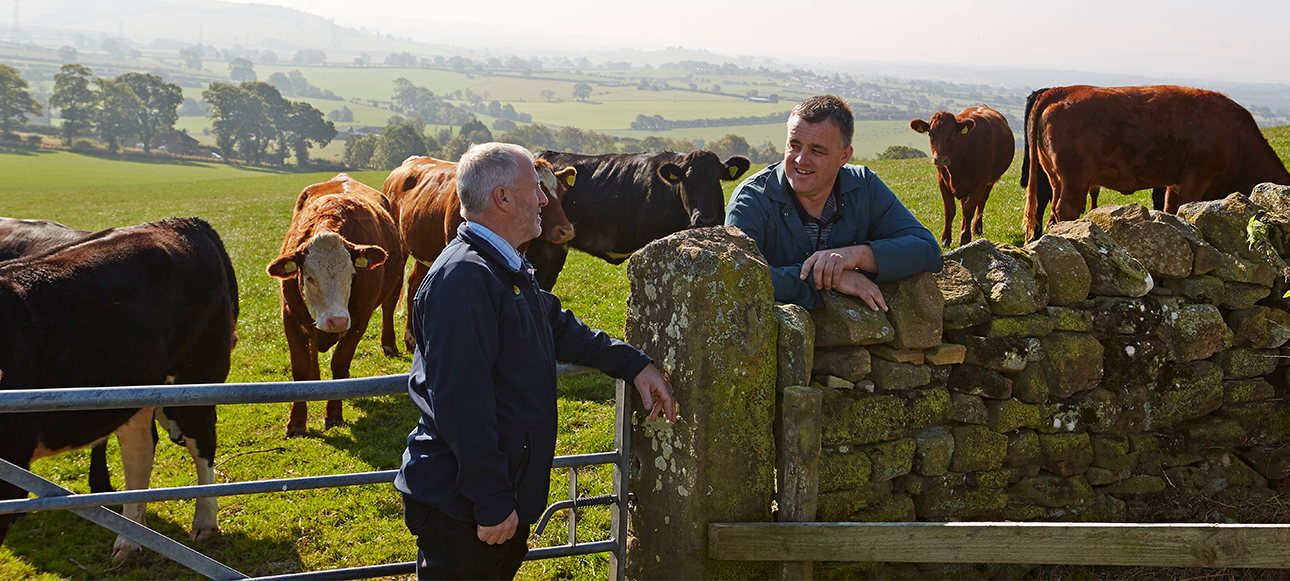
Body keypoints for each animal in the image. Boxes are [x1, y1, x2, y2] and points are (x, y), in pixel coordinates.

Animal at [0, 216, 237, 557]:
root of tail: (182, 222)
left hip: (197, 376)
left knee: (201, 444)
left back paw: (203, 521)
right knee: (140, 452)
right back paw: (130, 538)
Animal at [270, 174, 407, 438]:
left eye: (352, 275)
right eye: (309, 277)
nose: (337, 320)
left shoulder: (359, 319)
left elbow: (340, 363)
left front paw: (334, 414)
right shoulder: (290, 317)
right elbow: (300, 368)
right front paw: (296, 421)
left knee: (388, 309)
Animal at [381, 154, 575, 351]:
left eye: (561, 193)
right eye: (538, 190)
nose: (566, 231)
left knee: (414, 283)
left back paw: (410, 339)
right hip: (398, 250)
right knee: (393, 294)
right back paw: (389, 345)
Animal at [913, 105, 1011, 246]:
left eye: (953, 135)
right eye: (931, 134)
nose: (940, 159)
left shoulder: (981, 182)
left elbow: (969, 209)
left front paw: (965, 239)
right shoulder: (942, 181)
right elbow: (950, 210)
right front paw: (946, 239)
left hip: (989, 182)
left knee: (981, 203)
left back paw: (976, 229)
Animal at [1016, 83, 1290, 240]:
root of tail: (1059, 90)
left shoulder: (1175, 183)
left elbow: (1171, 211)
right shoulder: (1197, 177)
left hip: (1056, 178)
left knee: (1052, 211)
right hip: (1075, 179)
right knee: (1066, 210)